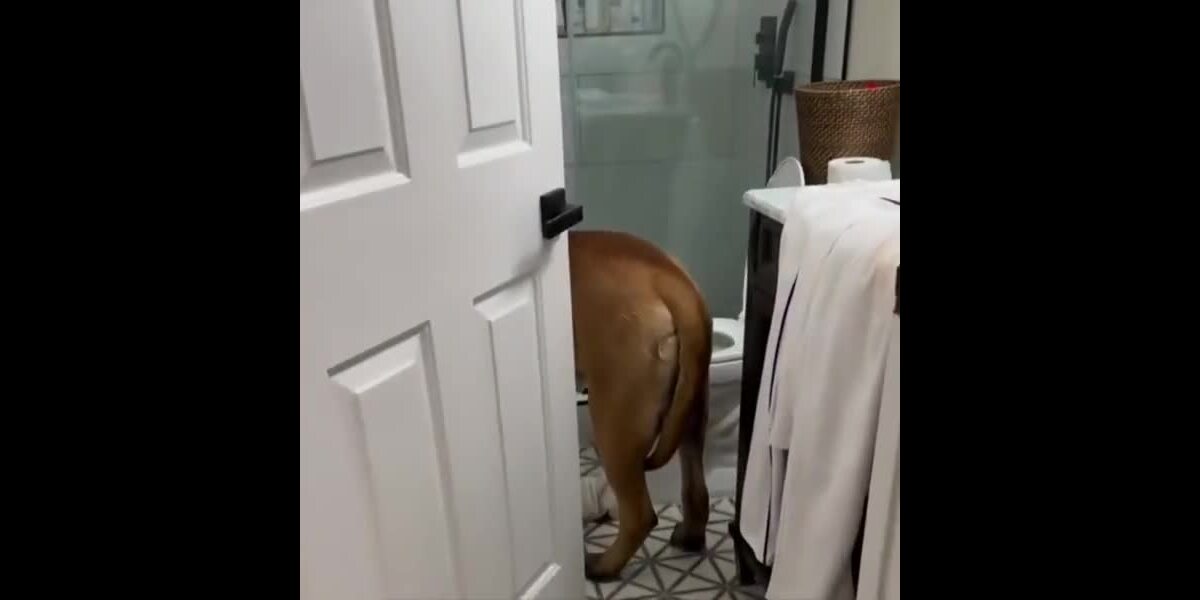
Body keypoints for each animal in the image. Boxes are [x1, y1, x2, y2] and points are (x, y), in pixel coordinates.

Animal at [568, 230, 713, 581]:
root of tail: (666, 276)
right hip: (691, 410)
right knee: (695, 489)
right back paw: (689, 536)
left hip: (613, 425)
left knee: (639, 516)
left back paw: (602, 566)